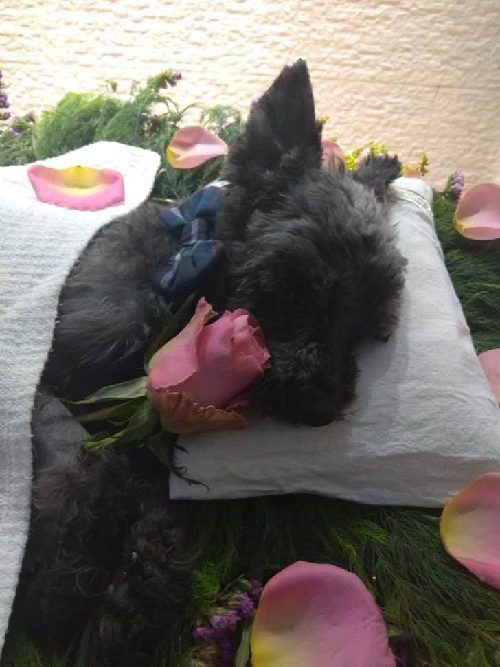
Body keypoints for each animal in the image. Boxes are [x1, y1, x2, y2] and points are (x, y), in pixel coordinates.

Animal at [15, 60, 404, 664]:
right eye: (298, 283)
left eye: (371, 327)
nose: (321, 407)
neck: (176, 270)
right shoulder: (47, 382)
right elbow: (83, 462)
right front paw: (63, 588)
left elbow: (153, 506)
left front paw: (127, 597)